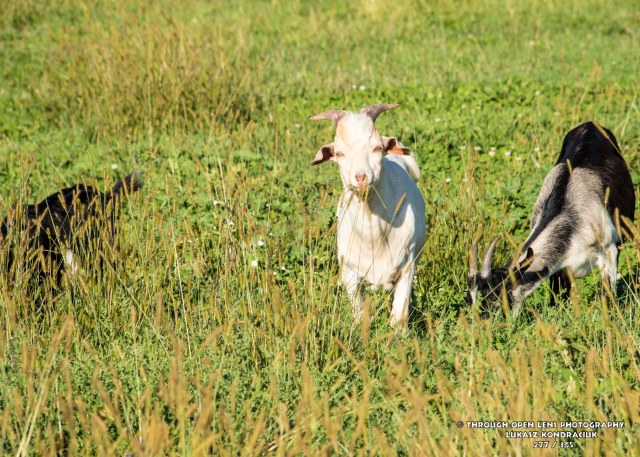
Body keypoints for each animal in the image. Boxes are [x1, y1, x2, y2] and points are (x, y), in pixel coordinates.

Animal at [310, 104, 426, 327]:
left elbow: (399, 317)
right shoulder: (350, 274)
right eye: (339, 153)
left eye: (377, 148)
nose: (361, 177)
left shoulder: (407, 266)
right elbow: (358, 316)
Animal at [468, 121, 635, 316]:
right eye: (469, 299)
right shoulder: (560, 269)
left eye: (495, 298)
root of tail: (590, 124)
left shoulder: (609, 250)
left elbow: (608, 297)